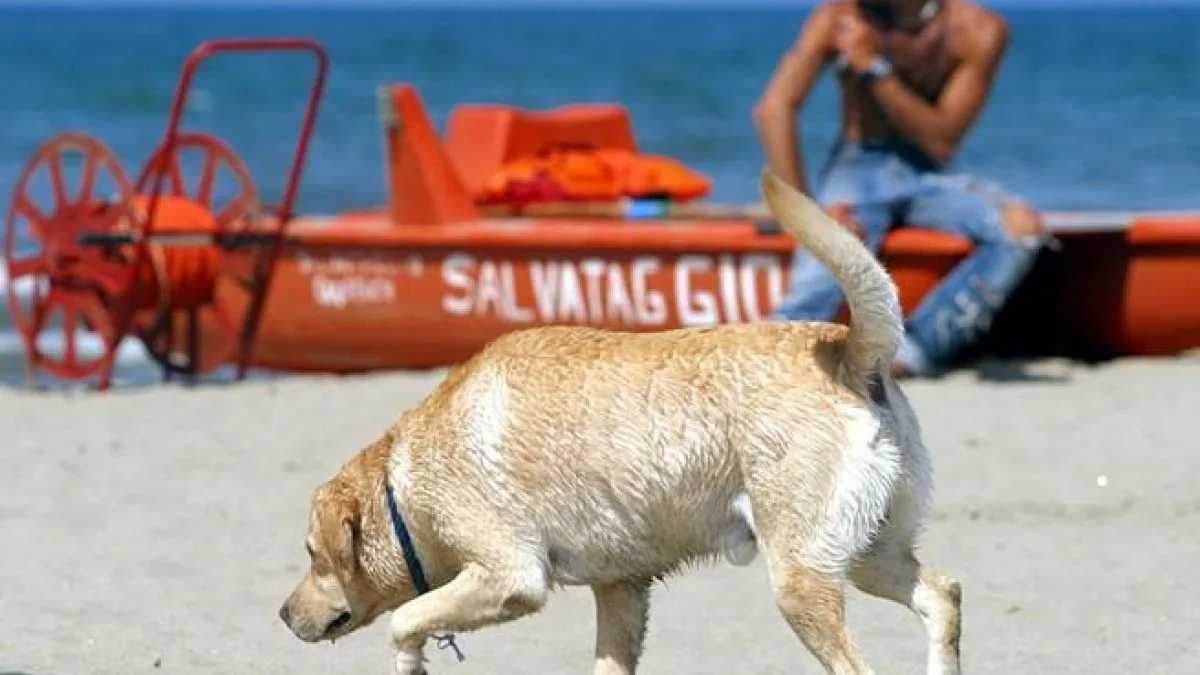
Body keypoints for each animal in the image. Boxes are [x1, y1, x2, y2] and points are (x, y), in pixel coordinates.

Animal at [276, 166, 960, 672]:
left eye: (312, 554)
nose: (283, 615)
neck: (403, 481)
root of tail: (850, 351)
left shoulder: (512, 577)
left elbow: (404, 620)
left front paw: (411, 660)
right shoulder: (622, 589)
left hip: (802, 577)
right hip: (869, 552)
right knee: (943, 596)